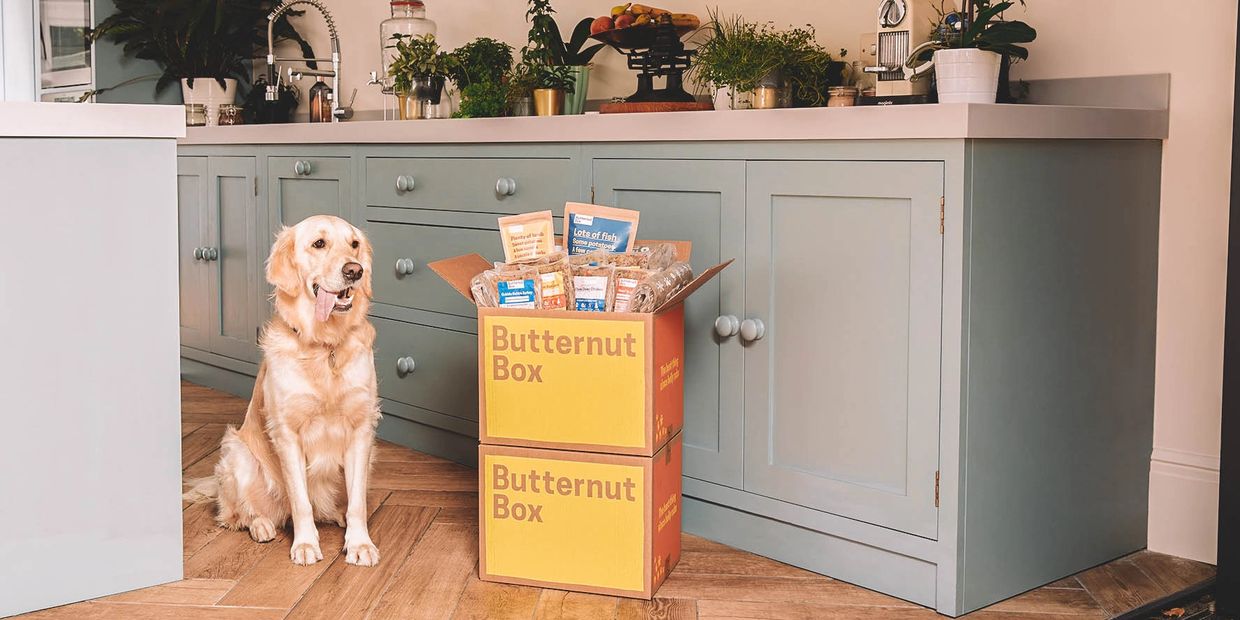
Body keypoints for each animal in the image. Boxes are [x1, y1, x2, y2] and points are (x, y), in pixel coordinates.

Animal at [186, 214, 379, 567]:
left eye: (354, 244)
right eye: (319, 243)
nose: (354, 271)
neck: (325, 347)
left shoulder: (362, 429)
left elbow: (357, 500)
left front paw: (359, 543)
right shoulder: (287, 432)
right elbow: (300, 501)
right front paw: (305, 545)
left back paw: (335, 514)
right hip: (237, 453)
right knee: (237, 515)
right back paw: (261, 525)